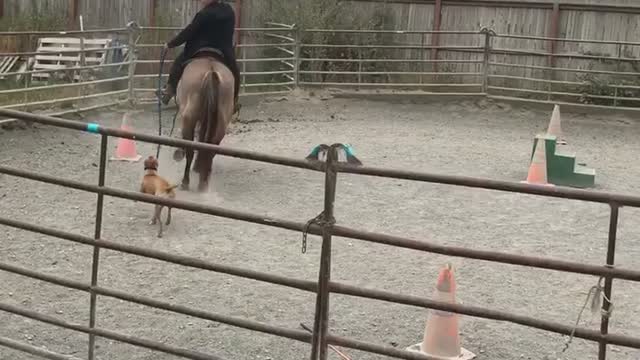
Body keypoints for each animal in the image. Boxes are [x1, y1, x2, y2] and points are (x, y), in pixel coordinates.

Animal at [172, 50, 235, 194]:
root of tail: (211, 72)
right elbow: (202, 139)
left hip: (189, 118)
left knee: (190, 150)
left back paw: (186, 182)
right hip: (220, 123)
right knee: (210, 149)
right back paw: (203, 183)